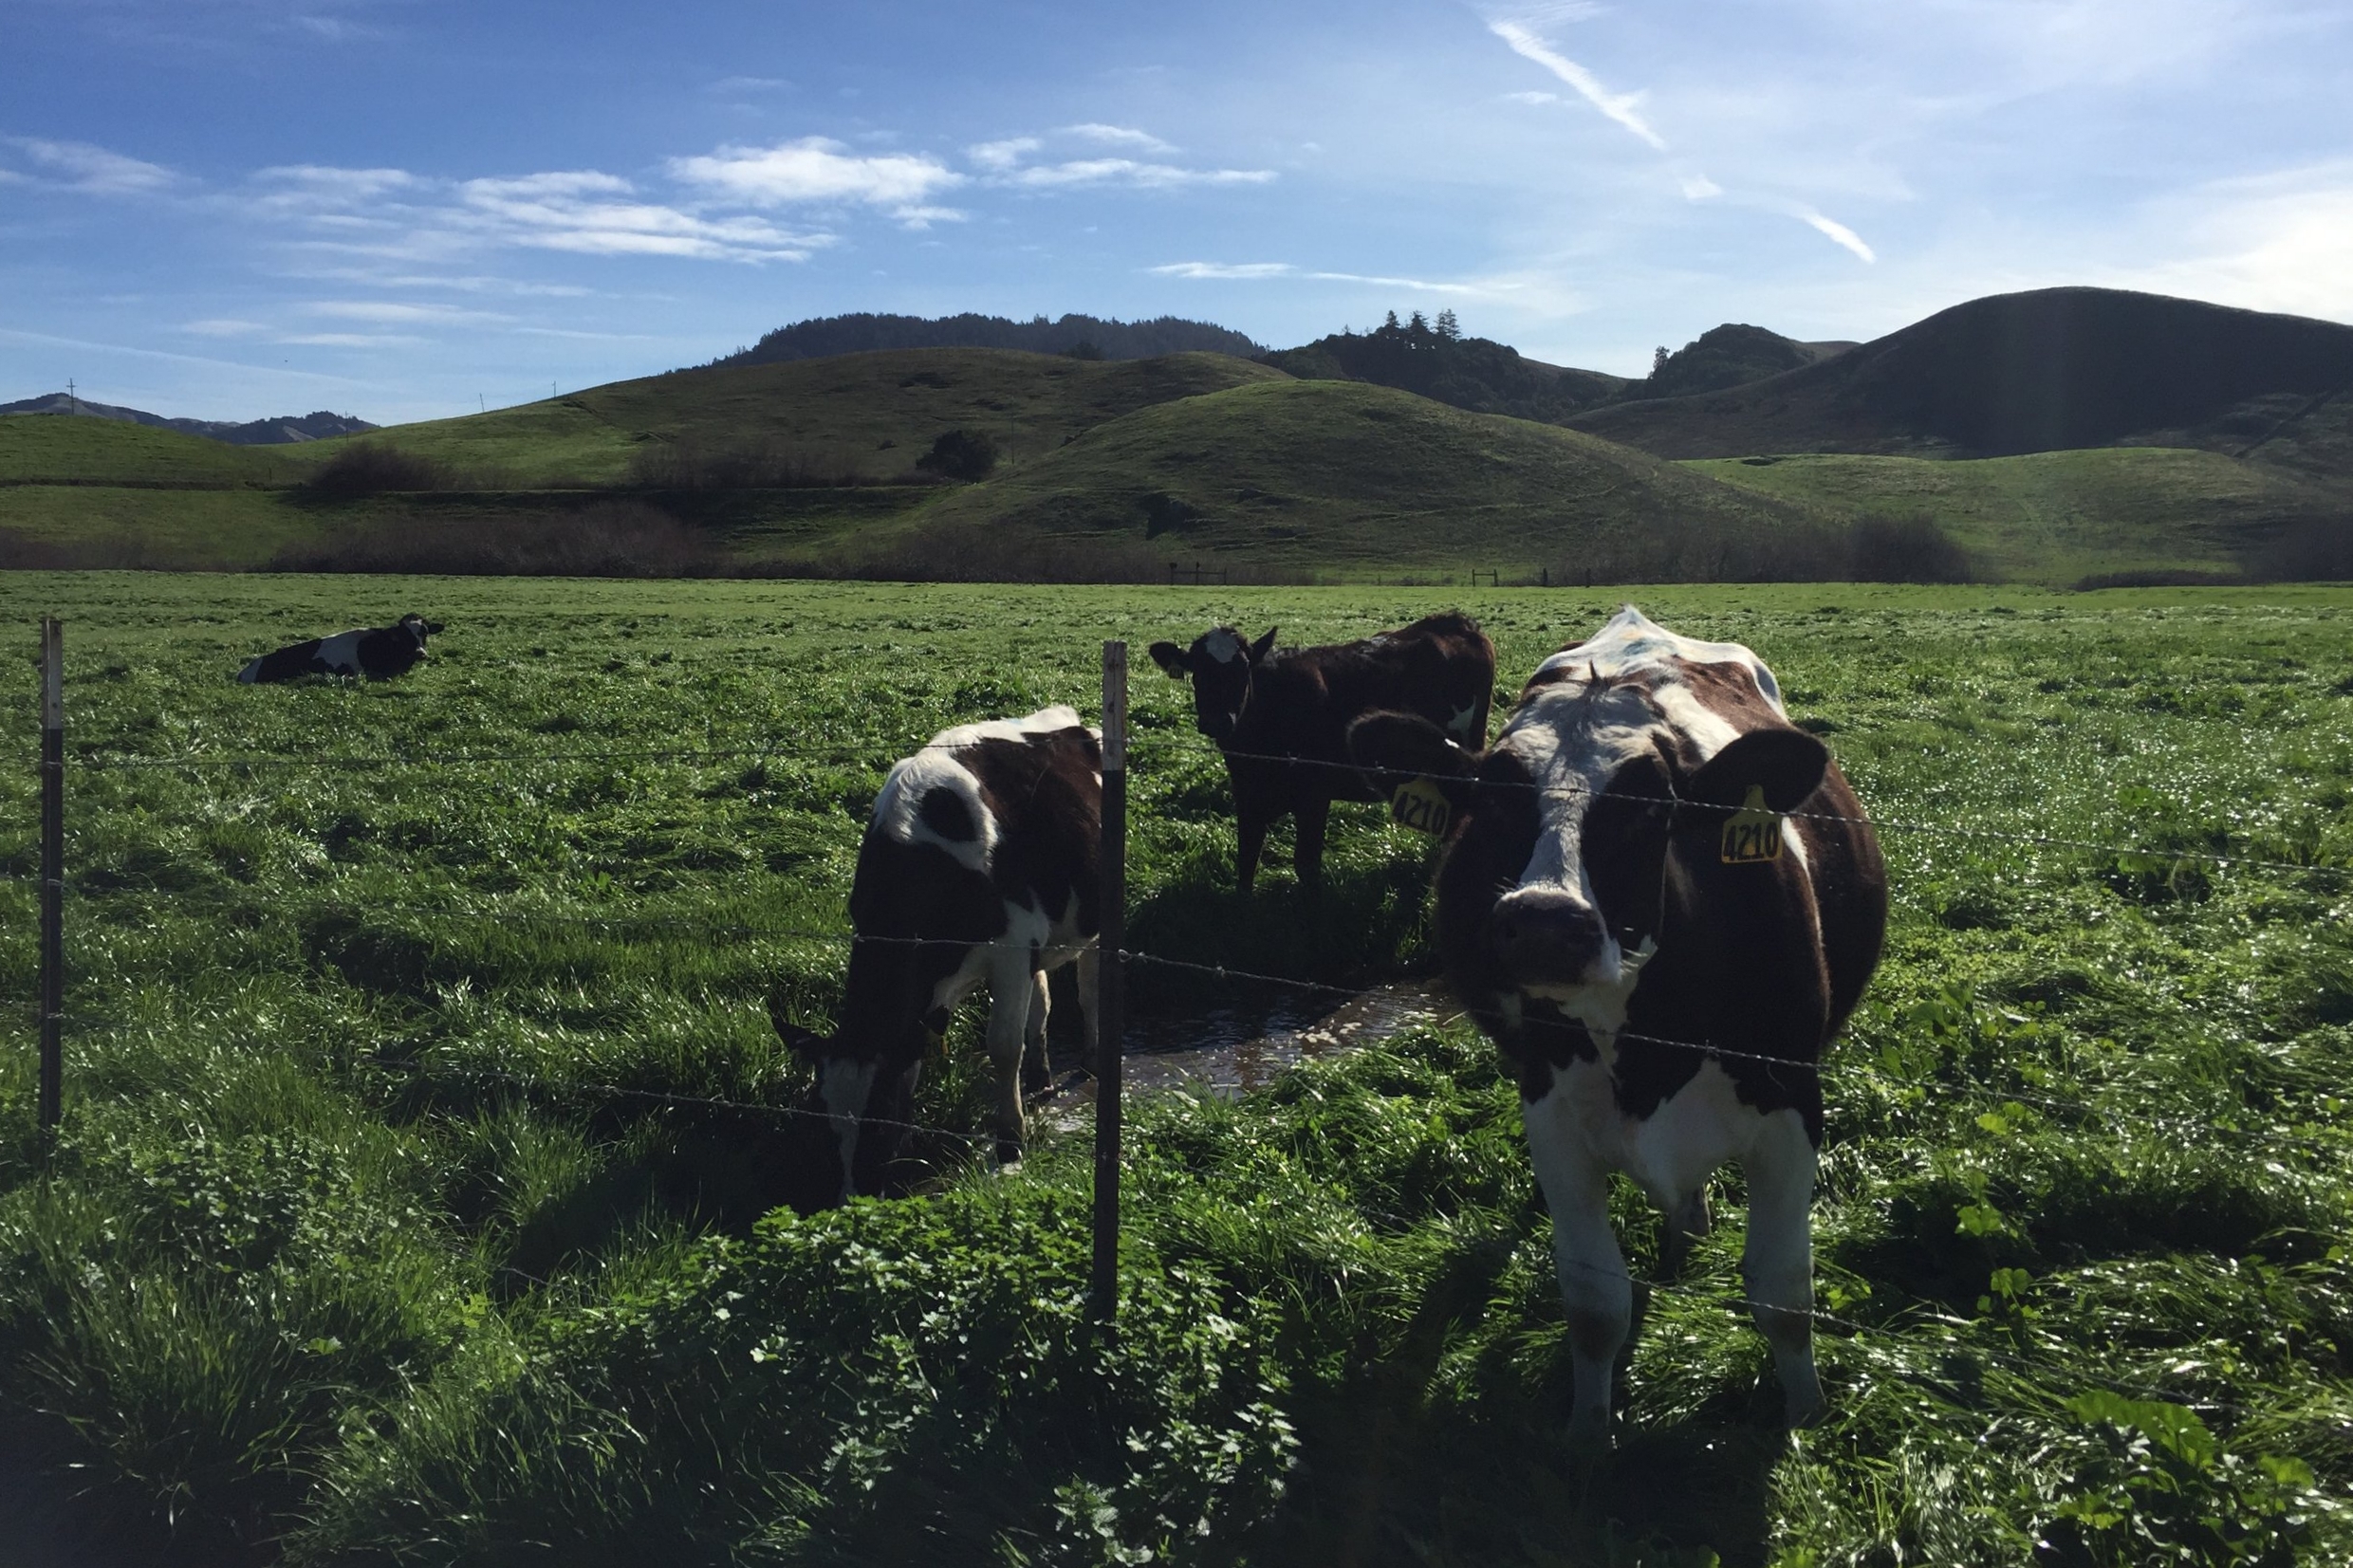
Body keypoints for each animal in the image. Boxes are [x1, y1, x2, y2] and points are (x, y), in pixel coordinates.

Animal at [771, 710, 1101, 1203]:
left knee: (1089, 991)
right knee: (1042, 1003)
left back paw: (1091, 1060)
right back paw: (1041, 1078)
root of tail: (1064, 719)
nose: (851, 1197)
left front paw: (1010, 1143)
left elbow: (1003, 1046)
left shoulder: (1012, 947)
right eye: (822, 1122)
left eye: (880, 1119)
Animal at [1148, 611, 1496, 893]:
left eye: (1243, 669)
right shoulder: (1247, 797)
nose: (1218, 721)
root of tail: (1456, 621)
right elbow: (1246, 861)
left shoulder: (1314, 796)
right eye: (1197, 671)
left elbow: (1306, 864)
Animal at [1355, 606, 1882, 1448]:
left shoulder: (1793, 1103)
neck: (1648, 1047)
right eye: (1493, 802)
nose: (1543, 923)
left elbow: (1783, 1294)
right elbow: (1596, 1302)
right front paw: (1587, 1434)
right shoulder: (1552, 1114)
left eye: (1649, 807)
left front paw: (1804, 1421)